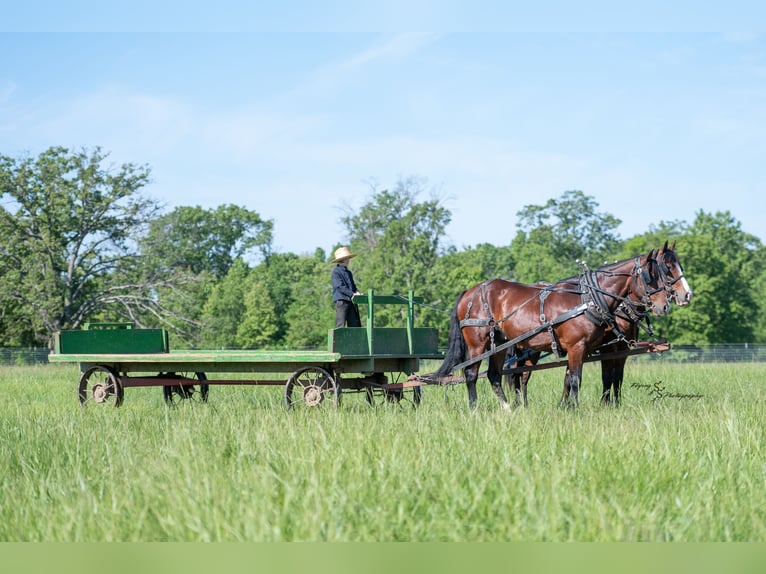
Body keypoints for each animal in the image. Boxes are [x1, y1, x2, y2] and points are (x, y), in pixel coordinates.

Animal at [435, 249, 671, 410]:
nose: (665, 305)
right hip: (478, 342)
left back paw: (509, 408)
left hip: (501, 343)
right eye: (652, 276)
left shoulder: (591, 350)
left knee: (497, 375)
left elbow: (579, 377)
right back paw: (474, 408)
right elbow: (577, 379)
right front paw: (575, 409)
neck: (589, 299)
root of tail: (469, 293)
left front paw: (569, 407)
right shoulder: (581, 347)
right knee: (471, 373)